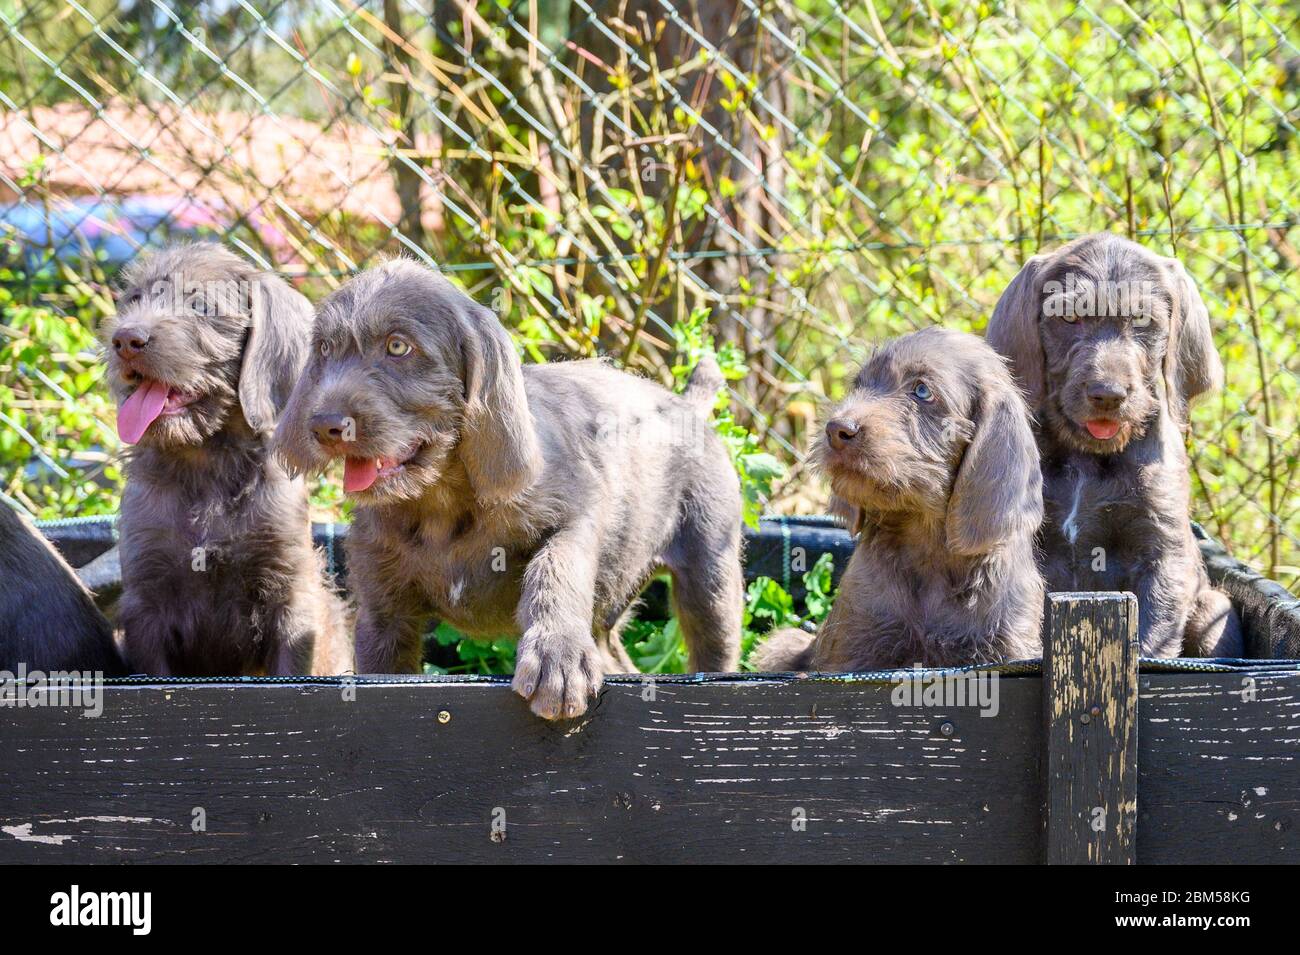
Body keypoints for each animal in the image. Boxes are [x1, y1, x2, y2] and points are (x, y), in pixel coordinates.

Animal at [102, 246, 353, 680]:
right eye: (134, 299)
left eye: (201, 306)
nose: (125, 339)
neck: (205, 464)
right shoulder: (145, 604)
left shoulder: (290, 597)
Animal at [274, 257, 743, 722]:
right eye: (325, 350)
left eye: (398, 347)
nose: (325, 425)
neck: (441, 499)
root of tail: (687, 405)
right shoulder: (383, 618)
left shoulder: (576, 511)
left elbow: (556, 564)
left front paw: (557, 654)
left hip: (712, 577)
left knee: (714, 646)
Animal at [754, 328, 1045, 670]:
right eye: (860, 385)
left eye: (921, 391)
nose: (837, 429)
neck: (926, 546)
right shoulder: (852, 650)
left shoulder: (1010, 650)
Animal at [982, 231, 1237, 657]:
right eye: (1069, 318)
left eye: (1142, 319)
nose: (1108, 394)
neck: (1088, 458)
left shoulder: (1162, 553)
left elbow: (1151, 639)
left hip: (1213, 608)